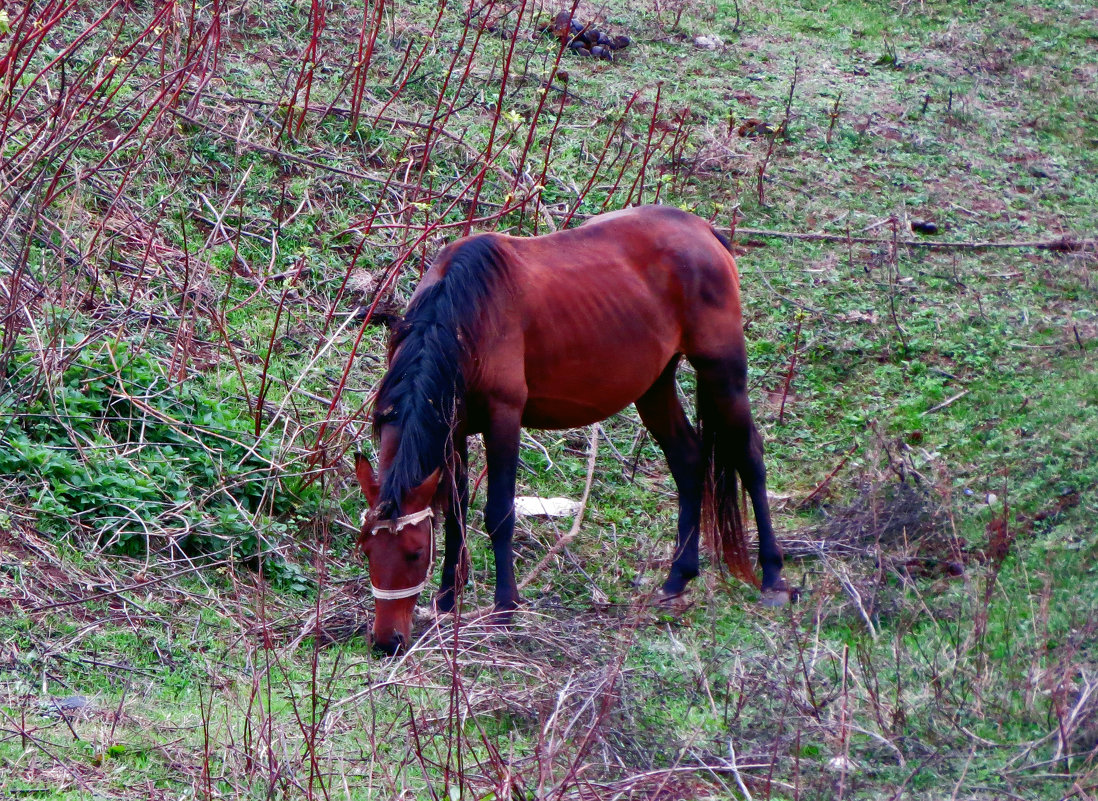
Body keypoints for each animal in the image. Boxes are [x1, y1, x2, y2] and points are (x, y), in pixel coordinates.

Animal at [355, 206, 786, 653]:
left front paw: (504, 608)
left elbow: (499, 513)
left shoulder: (503, 417)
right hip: (654, 386)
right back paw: (677, 577)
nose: (386, 641)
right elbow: (456, 511)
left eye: (414, 552)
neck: (461, 313)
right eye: (366, 549)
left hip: (723, 372)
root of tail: (703, 229)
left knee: (750, 458)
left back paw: (773, 577)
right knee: (688, 460)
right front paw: (446, 601)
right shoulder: (451, 429)